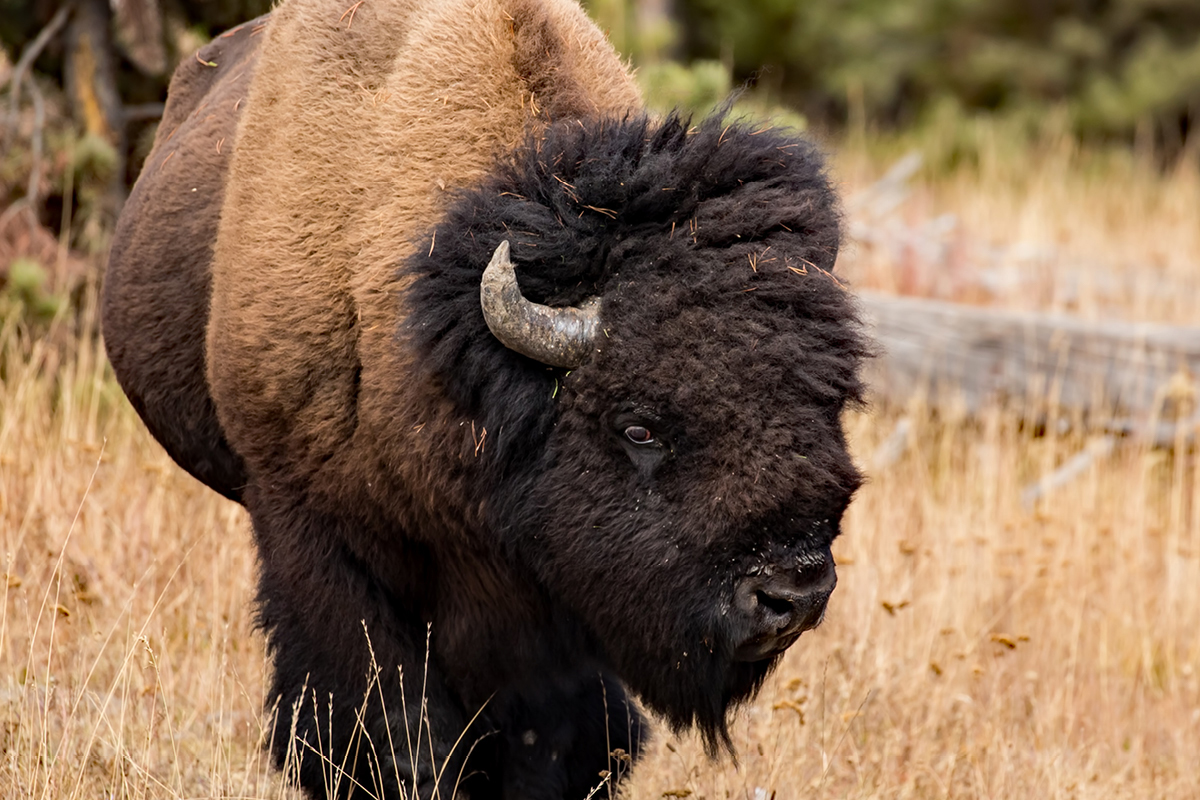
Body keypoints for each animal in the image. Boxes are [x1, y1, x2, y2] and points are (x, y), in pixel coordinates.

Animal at [100, 1, 873, 800]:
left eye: (832, 402)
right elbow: (392, 726)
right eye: (638, 427)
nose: (792, 593)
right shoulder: (311, 528)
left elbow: (555, 736)